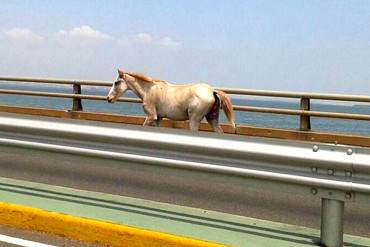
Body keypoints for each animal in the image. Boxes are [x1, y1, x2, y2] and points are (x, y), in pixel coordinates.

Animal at [106, 69, 234, 133]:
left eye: (116, 82)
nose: (108, 98)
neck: (148, 90)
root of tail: (212, 90)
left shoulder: (151, 116)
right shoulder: (159, 118)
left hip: (194, 119)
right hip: (212, 118)